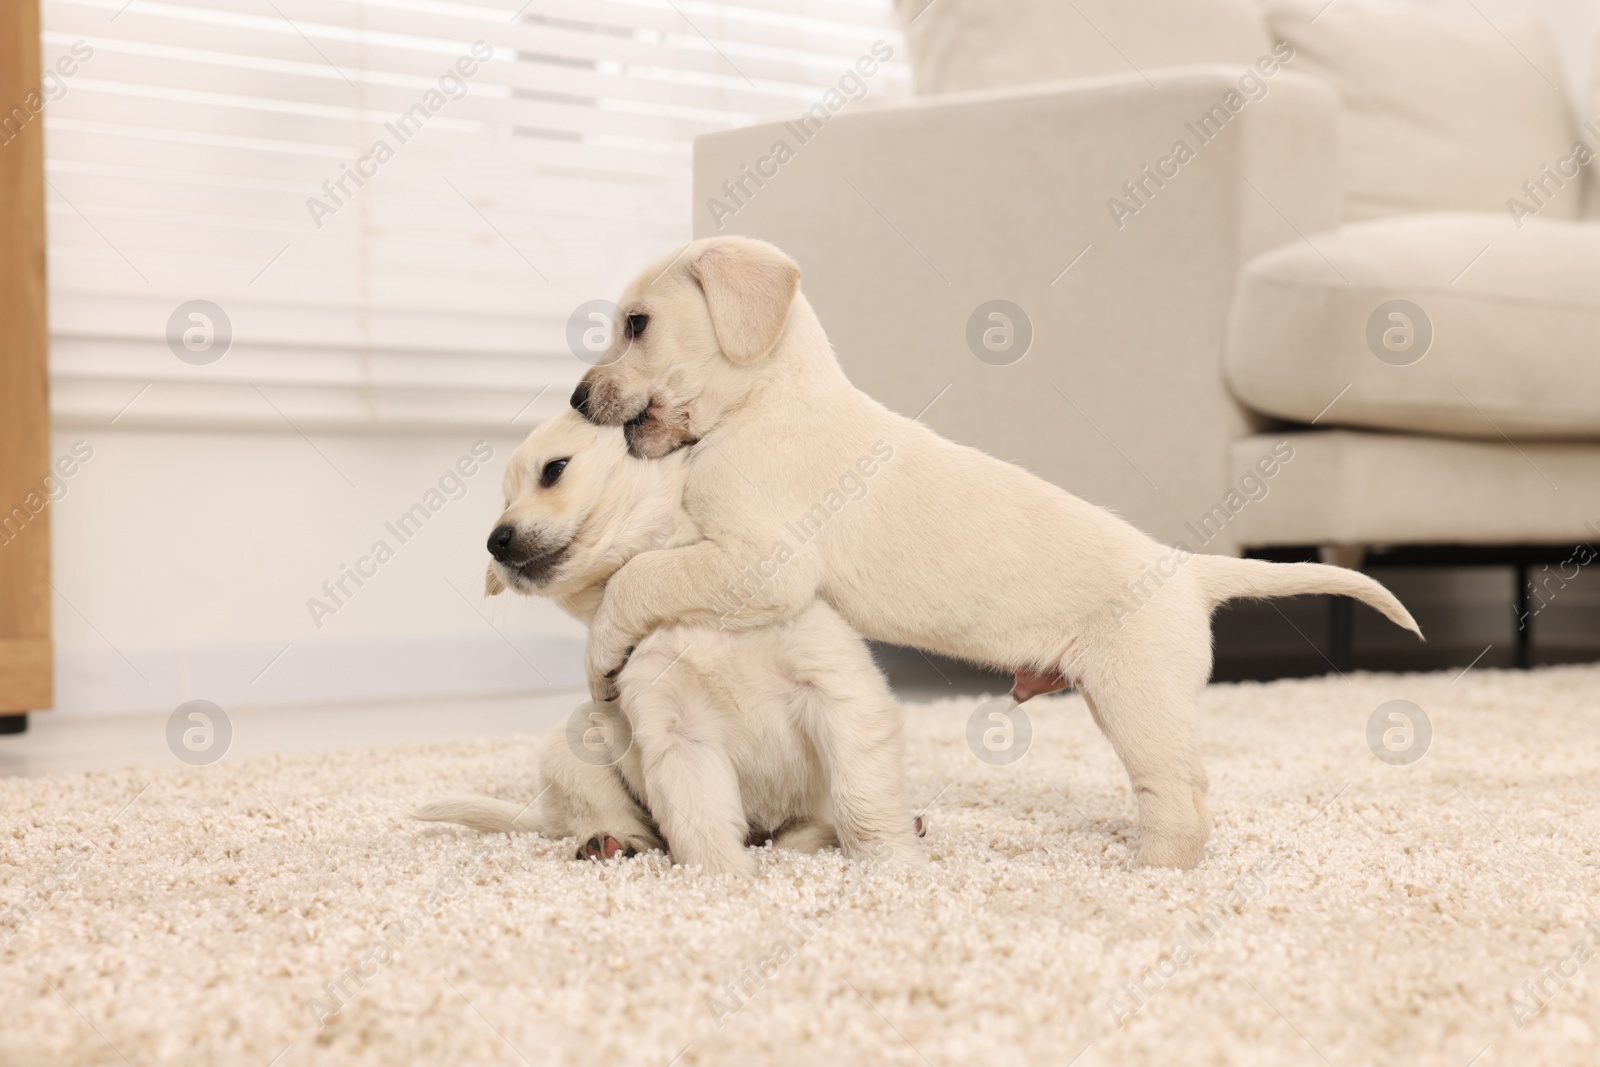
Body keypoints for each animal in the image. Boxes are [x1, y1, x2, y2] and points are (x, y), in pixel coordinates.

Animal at [412, 412, 928, 876]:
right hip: (575, 742)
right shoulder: (677, 730)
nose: (495, 542)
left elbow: (862, 800)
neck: (690, 610)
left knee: (807, 830)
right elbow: (698, 818)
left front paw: (891, 864)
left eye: (554, 469)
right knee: (602, 815)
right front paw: (723, 879)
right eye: (504, 500)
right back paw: (608, 843)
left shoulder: (837, 692)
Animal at [569, 235, 1420, 870]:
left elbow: (641, 578)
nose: (577, 398)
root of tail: (1187, 568)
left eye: (637, 324)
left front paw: (603, 654)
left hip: (1139, 698)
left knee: (1182, 794)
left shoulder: (757, 561)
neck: (767, 403)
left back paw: (1153, 871)